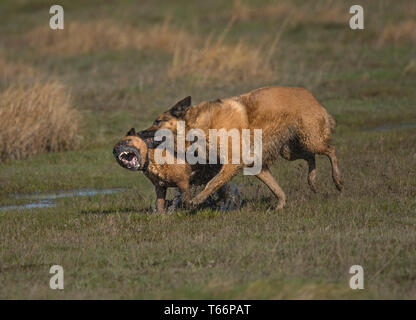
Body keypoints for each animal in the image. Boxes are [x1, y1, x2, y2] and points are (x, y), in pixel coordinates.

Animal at [140, 85, 344, 210]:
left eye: (157, 121)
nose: (140, 133)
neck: (197, 124)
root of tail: (311, 96)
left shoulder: (233, 162)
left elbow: (212, 183)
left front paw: (195, 201)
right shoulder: (256, 165)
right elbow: (276, 188)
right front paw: (280, 205)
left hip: (311, 140)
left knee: (331, 150)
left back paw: (338, 180)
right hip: (290, 150)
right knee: (311, 157)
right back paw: (312, 180)